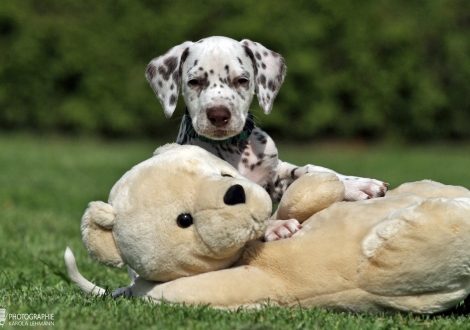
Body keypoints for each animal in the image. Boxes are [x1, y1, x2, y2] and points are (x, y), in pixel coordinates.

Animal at [145, 36, 388, 242]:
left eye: (242, 80)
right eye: (194, 82)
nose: (218, 115)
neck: (234, 149)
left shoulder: (275, 176)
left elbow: (311, 170)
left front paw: (357, 184)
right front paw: (276, 226)